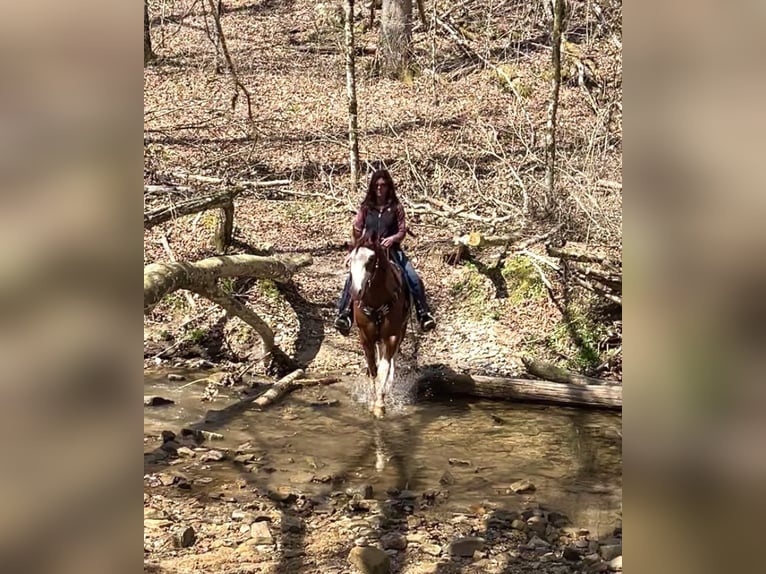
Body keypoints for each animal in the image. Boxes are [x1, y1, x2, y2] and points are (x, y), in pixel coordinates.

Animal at [350, 233, 412, 418]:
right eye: (350, 259)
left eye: (371, 259)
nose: (356, 292)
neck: (377, 300)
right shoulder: (365, 336)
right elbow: (373, 369)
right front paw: (372, 401)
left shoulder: (392, 335)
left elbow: (384, 369)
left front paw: (380, 404)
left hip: (401, 331)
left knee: (392, 359)